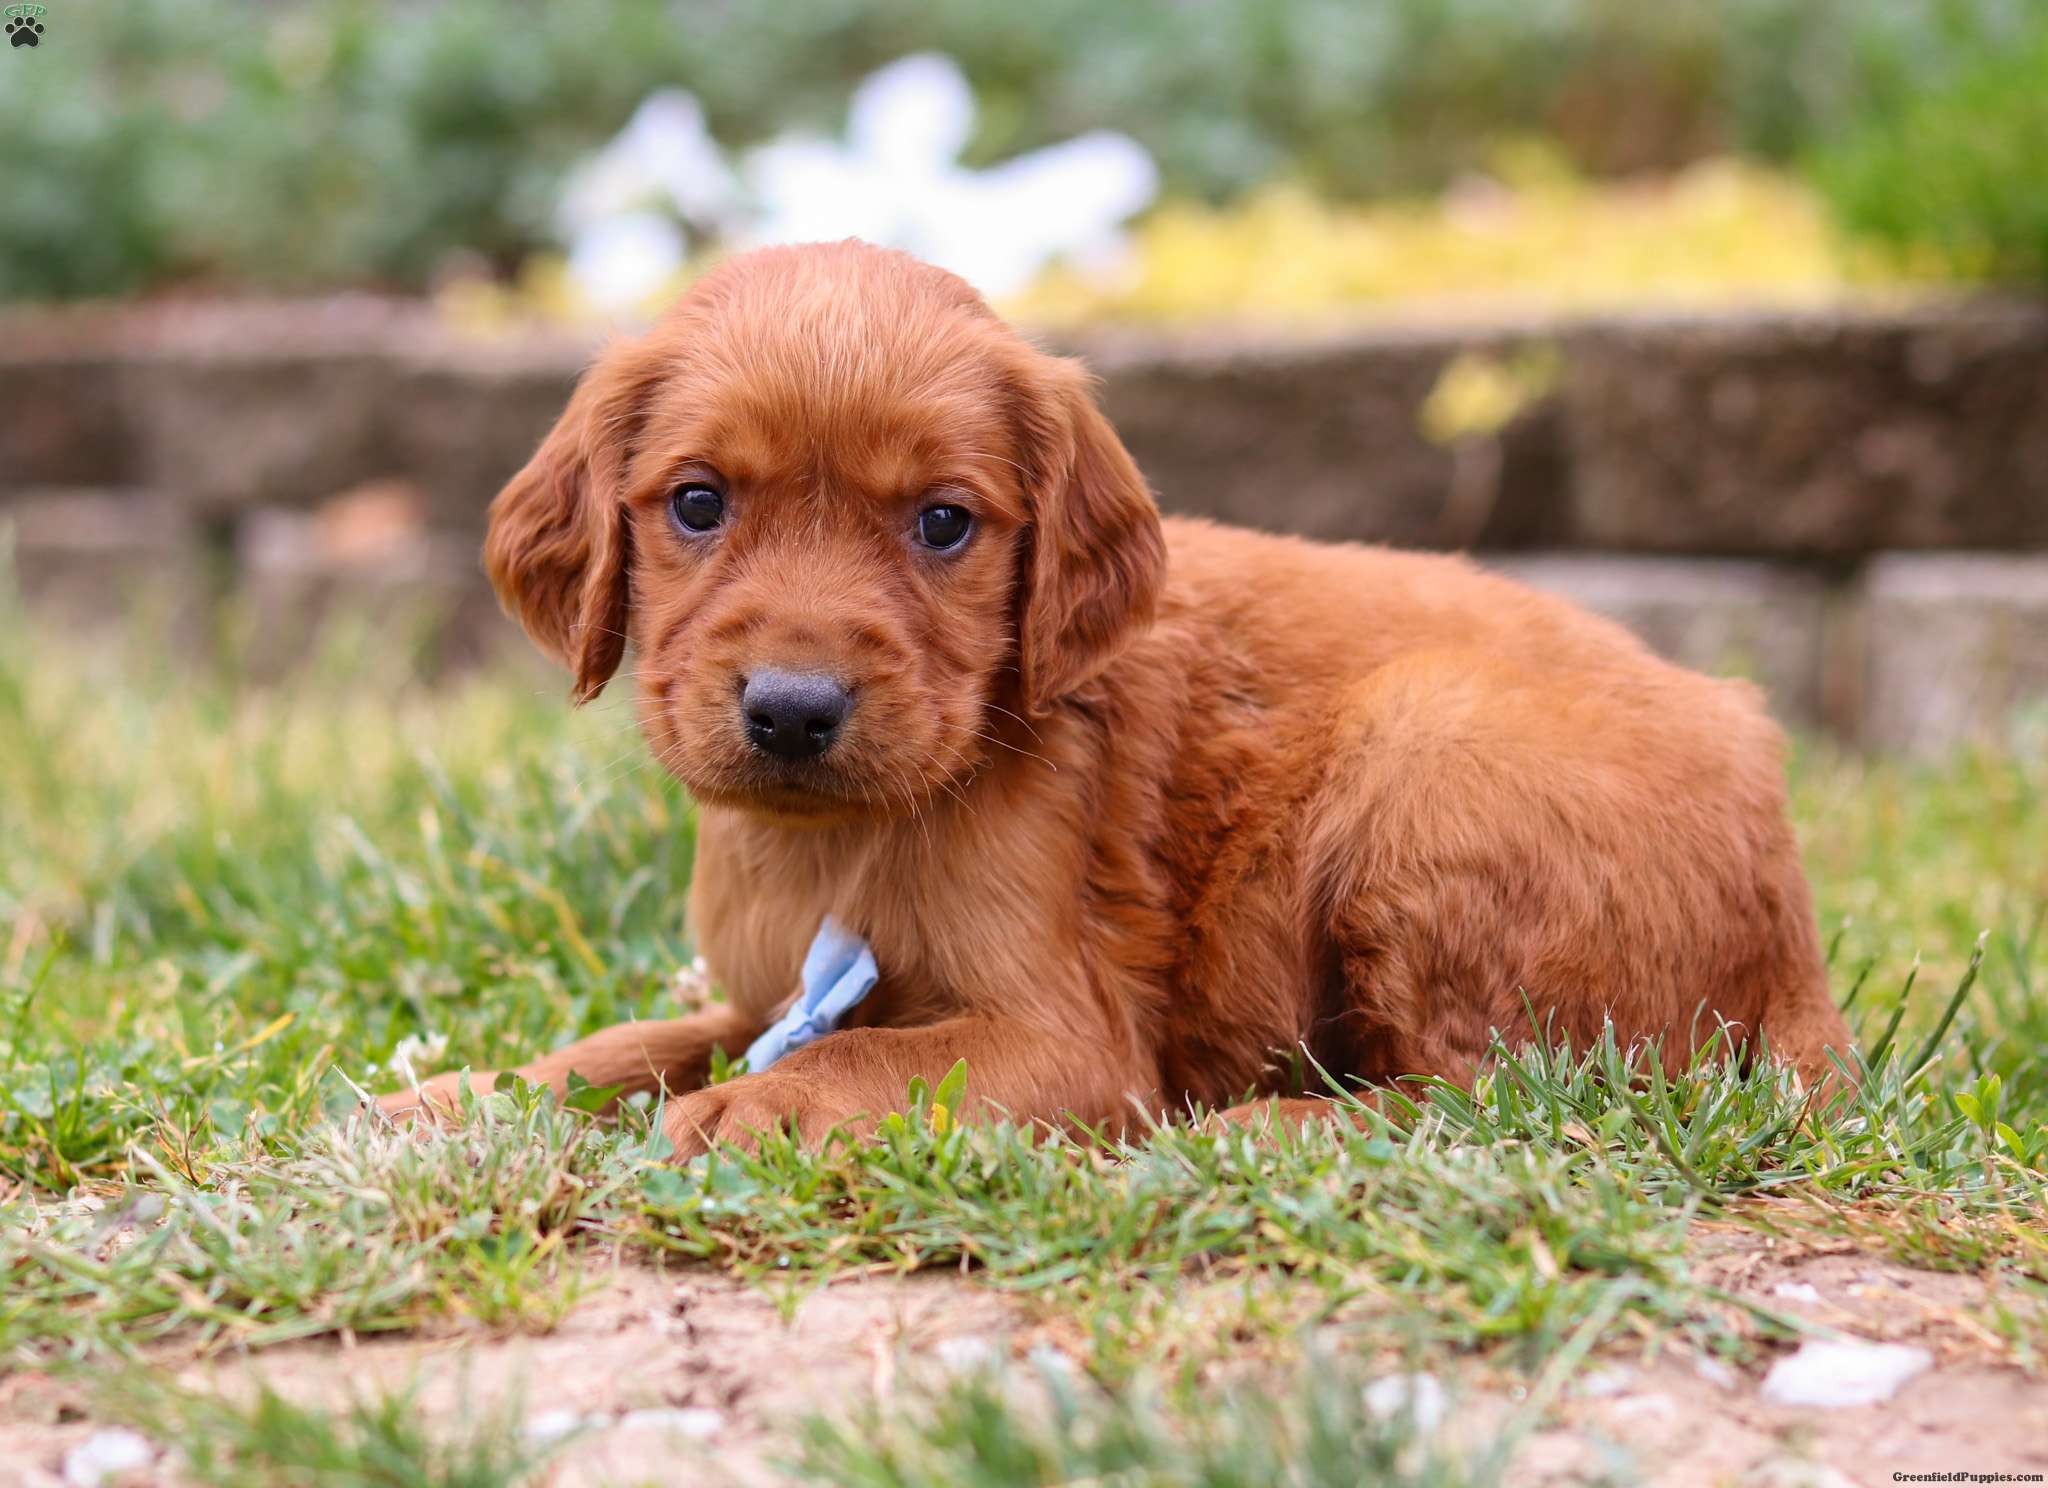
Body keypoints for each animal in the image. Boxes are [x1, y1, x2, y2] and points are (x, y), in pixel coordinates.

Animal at [376, 241, 1851, 1154]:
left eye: (942, 524)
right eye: (695, 504)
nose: (792, 710)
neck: (839, 843)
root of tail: (1794, 914)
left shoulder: (1066, 1041)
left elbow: (864, 1058)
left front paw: (761, 1112)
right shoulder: (761, 995)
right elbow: (640, 1039)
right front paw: (457, 1097)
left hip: (1425, 748)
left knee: (1511, 1101)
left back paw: (1258, 1131)